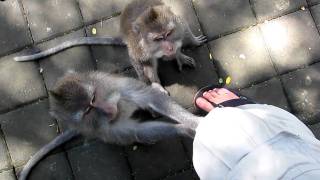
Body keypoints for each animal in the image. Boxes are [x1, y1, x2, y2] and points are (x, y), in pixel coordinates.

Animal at [18, 71, 200, 180]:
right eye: (87, 111)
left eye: (93, 98)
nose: (110, 110)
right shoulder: (106, 130)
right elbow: (140, 131)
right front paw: (186, 130)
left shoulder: (119, 87)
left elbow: (151, 98)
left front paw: (195, 123)